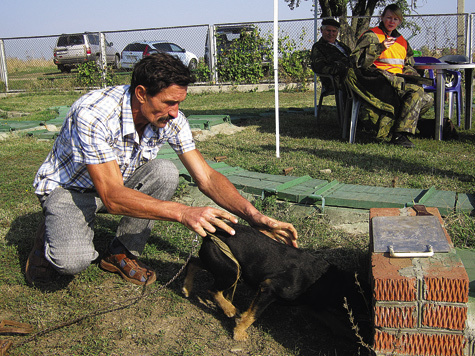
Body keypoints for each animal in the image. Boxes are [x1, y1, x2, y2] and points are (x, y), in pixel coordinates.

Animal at [180, 222, 370, 342]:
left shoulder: (314, 306)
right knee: (212, 290)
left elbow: (336, 322)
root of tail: (212, 232)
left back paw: (187, 288)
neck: (326, 280)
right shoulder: (269, 289)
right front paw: (239, 333)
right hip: (232, 271)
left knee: (193, 262)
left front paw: (355, 338)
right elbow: (252, 315)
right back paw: (229, 308)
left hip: (221, 264)